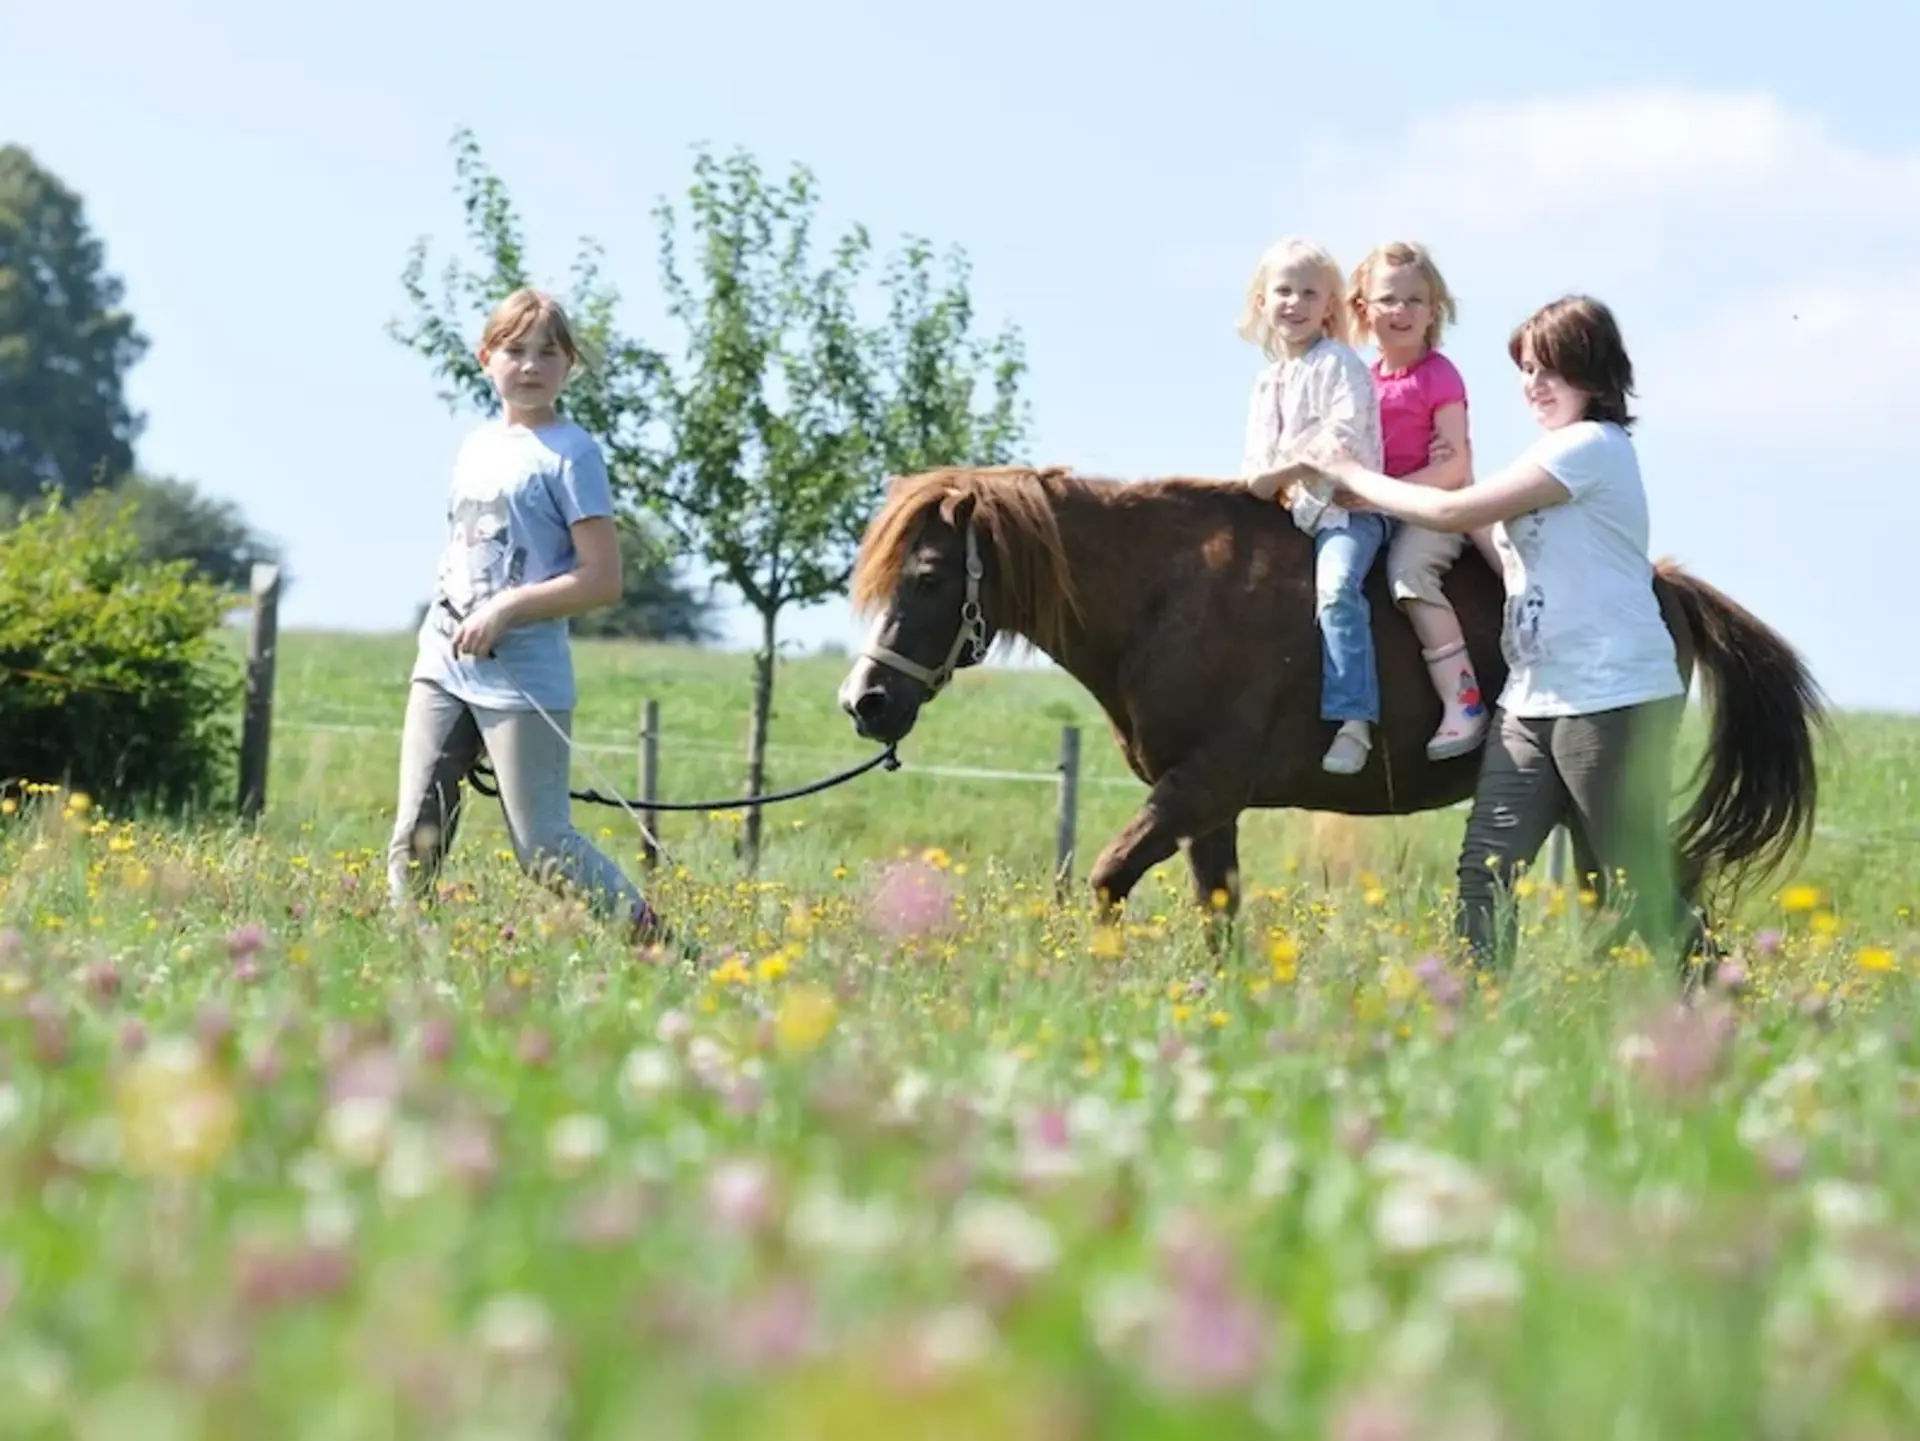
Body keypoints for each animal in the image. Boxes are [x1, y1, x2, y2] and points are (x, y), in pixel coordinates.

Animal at [836, 464, 1824, 950]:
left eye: (930, 575)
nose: (864, 701)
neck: (1166, 594)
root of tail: (1668, 587)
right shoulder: (1206, 808)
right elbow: (1218, 919)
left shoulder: (1199, 787)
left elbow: (1107, 879)